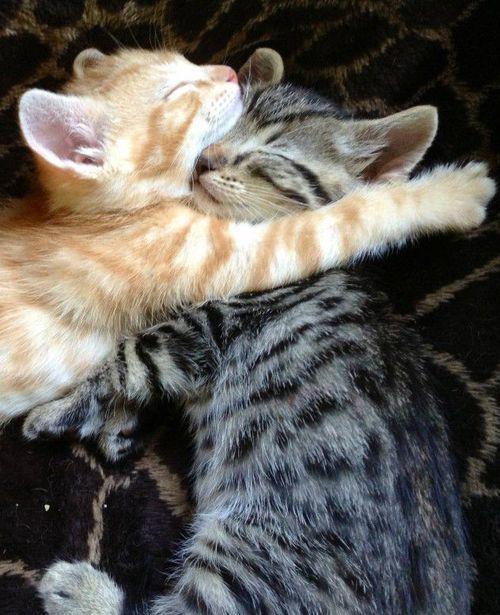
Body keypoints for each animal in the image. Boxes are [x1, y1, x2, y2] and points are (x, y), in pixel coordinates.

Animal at [0, 47, 495, 420]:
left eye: (188, 59)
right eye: (178, 91)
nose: (229, 71)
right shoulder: (215, 252)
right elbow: (349, 217)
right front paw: (453, 192)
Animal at [31, 51, 471, 614]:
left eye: (269, 153)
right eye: (217, 129)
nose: (204, 160)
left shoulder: (203, 329)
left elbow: (130, 355)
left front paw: (58, 409)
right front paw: (118, 421)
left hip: (256, 557)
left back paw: (81, 590)